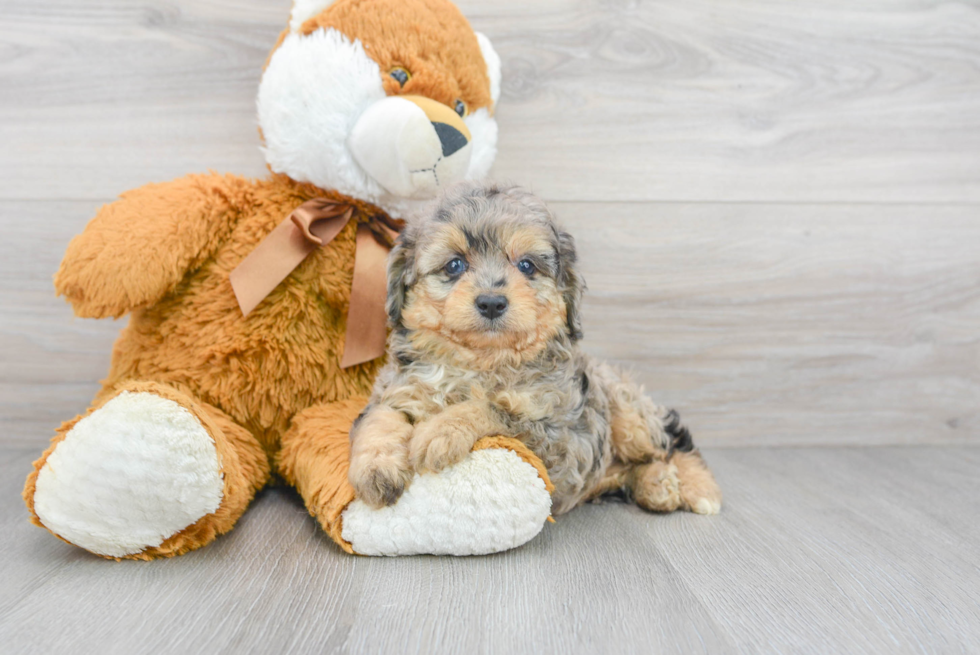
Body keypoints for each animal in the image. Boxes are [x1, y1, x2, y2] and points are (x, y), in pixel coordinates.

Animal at [348, 181, 724, 516]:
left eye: (526, 265)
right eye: (454, 265)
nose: (491, 302)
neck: (480, 363)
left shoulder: (558, 438)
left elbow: (492, 409)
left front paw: (441, 431)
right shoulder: (397, 389)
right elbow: (379, 417)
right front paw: (375, 468)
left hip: (630, 412)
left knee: (674, 440)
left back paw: (697, 489)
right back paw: (656, 486)